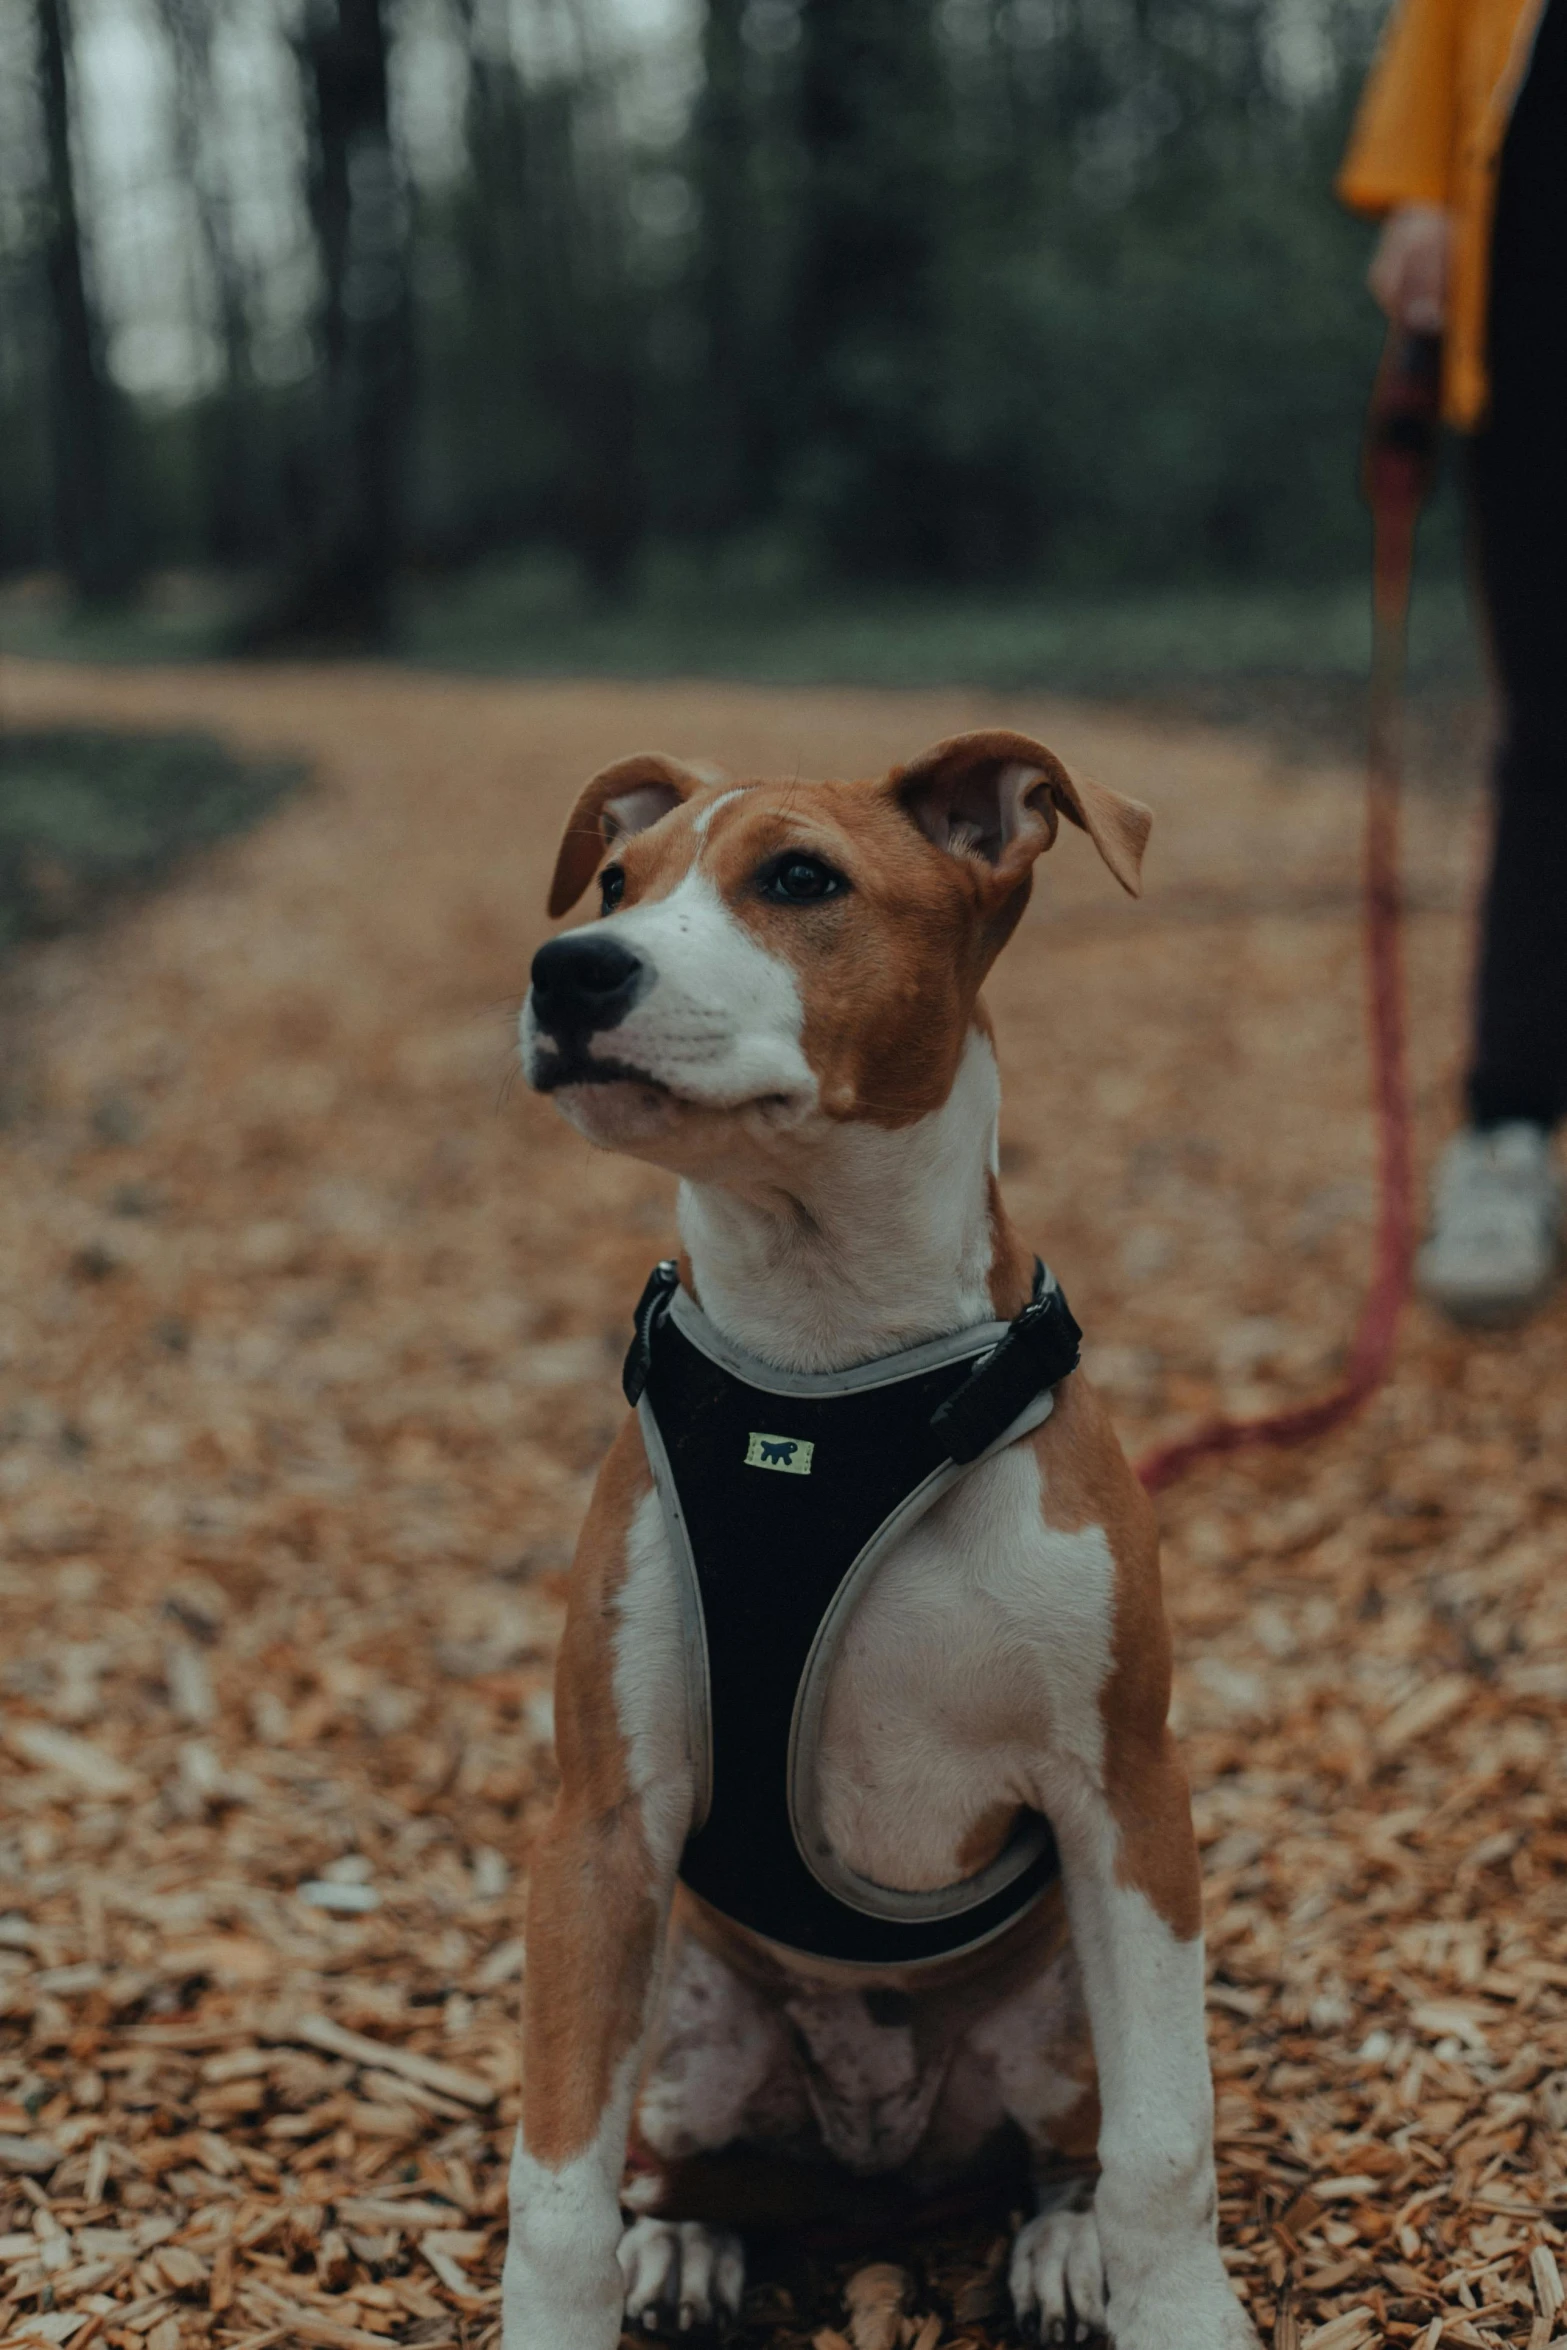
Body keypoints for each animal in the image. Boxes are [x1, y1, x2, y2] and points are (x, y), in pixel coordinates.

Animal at [502, 733, 1259, 2350]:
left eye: (800, 879)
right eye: (613, 884)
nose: (568, 969)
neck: (826, 1362)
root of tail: (881, 2162)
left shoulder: (1127, 1796)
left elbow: (1167, 2143)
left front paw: (1177, 2308)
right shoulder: (601, 1828)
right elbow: (557, 2197)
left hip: (1059, 2007)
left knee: (1068, 2152)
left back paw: (1060, 2249)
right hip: (686, 2019)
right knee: (676, 2165)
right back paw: (691, 2243)